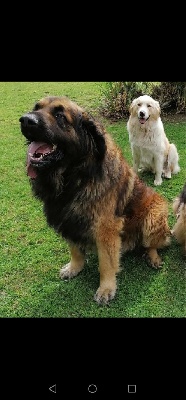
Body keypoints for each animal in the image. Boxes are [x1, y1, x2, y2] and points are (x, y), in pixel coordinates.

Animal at [19, 97, 171, 304]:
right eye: (36, 108)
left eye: (60, 116)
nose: (26, 120)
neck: (74, 178)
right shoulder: (69, 220)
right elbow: (75, 250)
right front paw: (74, 268)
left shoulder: (106, 228)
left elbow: (106, 263)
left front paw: (106, 289)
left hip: (153, 215)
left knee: (153, 245)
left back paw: (153, 257)